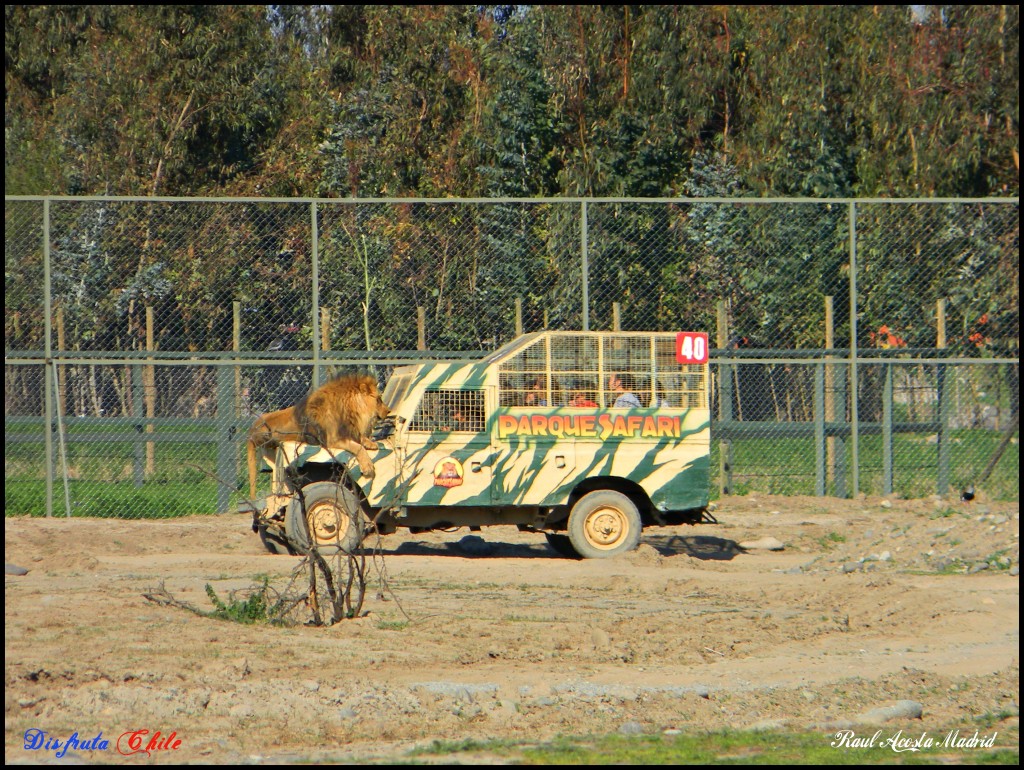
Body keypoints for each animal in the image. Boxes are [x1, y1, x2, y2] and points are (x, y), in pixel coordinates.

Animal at [245, 372, 389, 499]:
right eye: (379, 399)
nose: (388, 411)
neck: (350, 411)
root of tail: (250, 431)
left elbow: (360, 438)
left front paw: (370, 443)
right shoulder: (333, 439)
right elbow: (357, 447)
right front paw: (368, 467)